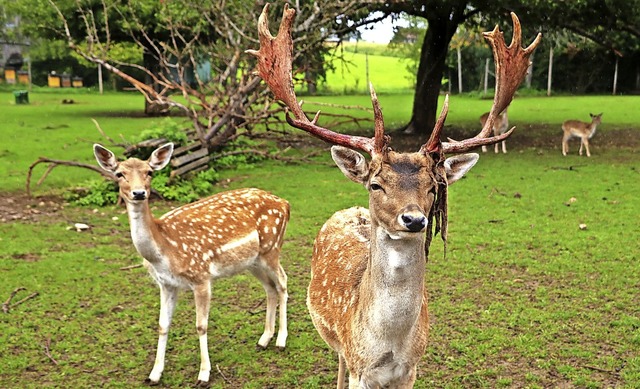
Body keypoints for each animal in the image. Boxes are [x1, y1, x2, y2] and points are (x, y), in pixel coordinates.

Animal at [93, 143, 290, 384]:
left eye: (149, 172)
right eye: (119, 173)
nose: (139, 193)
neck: (164, 251)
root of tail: (285, 204)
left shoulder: (201, 276)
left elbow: (201, 326)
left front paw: (204, 374)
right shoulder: (166, 284)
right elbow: (162, 325)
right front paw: (154, 374)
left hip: (272, 247)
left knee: (283, 282)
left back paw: (281, 341)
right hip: (253, 261)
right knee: (270, 288)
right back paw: (264, 339)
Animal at [248, 4, 536, 386]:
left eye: (433, 187)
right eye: (376, 184)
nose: (414, 219)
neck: (388, 344)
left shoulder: (412, 368)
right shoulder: (360, 366)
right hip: (336, 342)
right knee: (338, 361)